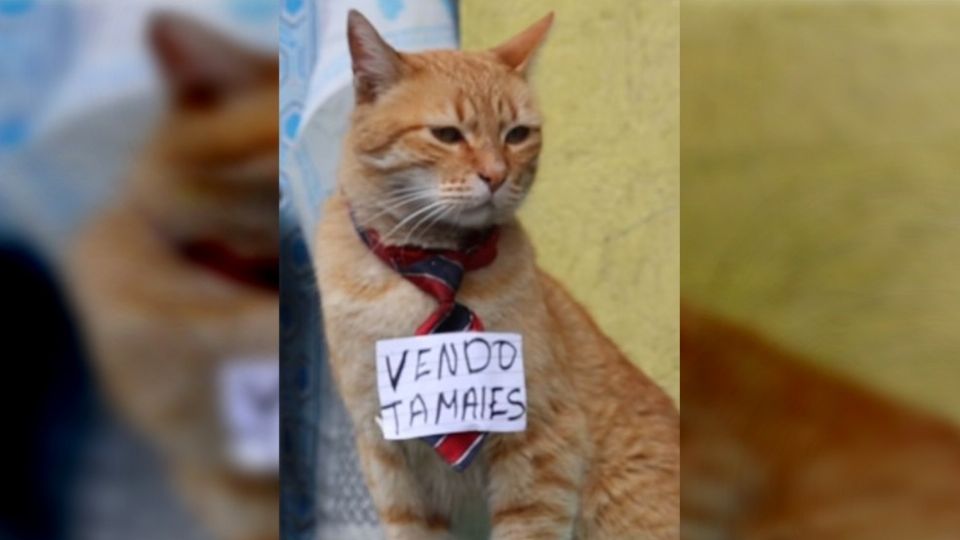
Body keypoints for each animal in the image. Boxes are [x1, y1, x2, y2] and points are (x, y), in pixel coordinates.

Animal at [314, 9, 676, 540]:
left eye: (517, 134)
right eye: (447, 135)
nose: (497, 175)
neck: (434, 265)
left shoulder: (540, 442)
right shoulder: (387, 456)